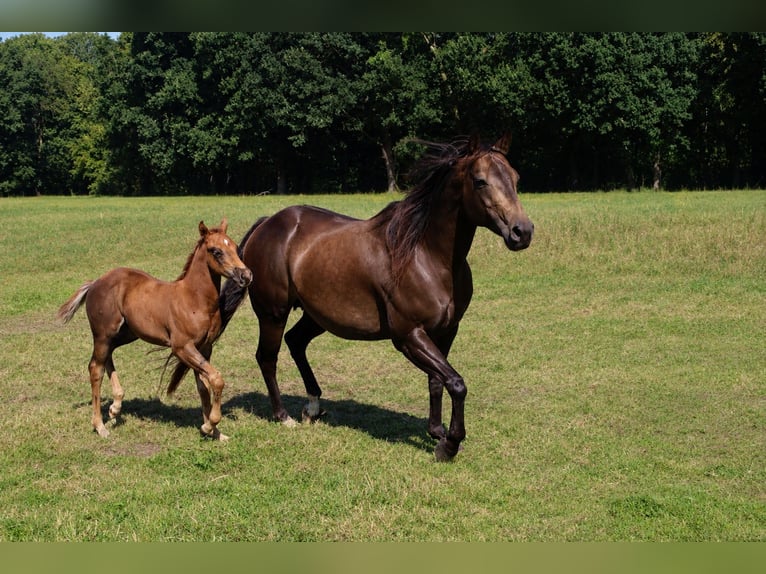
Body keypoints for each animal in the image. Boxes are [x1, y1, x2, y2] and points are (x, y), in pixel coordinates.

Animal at [58, 219, 252, 441]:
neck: (195, 300)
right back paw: (100, 425)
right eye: (216, 251)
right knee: (95, 368)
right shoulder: (182, 347)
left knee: (107, 358)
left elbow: (204, 386)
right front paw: (209, 426)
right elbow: (217, 380)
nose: (246, 275)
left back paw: (115, 407)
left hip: (125, 334)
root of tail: (95, 283)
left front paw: (215, 432)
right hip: (103, 335)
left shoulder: (205, 348)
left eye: (235, 247)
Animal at [199, 133, 532, 460]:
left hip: (317, 315)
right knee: (267, 357)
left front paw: (437, 431)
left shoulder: (447, 331)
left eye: (516, 178)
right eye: (480, 181)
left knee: (296, 342)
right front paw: (449, 444)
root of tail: (268, 223)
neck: (425, 255)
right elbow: (456, 383)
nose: (522, 232)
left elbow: (438, 382)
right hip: (273, 314)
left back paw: (313, 407)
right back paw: (284, 416)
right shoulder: (409, 336)